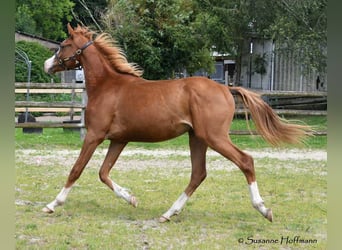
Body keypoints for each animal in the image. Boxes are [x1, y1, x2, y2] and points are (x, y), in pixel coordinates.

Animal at [42, 24, 310, 222]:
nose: (46, 65)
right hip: (197, 138)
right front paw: (132, 198)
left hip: (214, 136)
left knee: (245, 161)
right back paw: (168, 213)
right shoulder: (119, 139)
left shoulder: (95, 135)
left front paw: (52, 204)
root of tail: (226, 88)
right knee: (198, 173)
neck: (108, 86)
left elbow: (77, 169)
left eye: (63, 45)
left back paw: (264, 210)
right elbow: (103, 173)